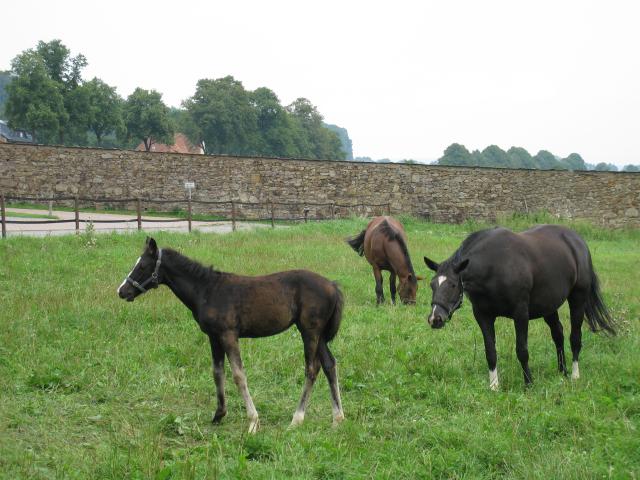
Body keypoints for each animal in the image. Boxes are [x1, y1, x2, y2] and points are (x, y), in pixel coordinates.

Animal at [116, 238, 344, 434]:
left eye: (142, 266)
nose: (122, 291)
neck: (207, 290)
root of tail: (333, 285)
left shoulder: (228, 335)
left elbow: (238, 375)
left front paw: (253, 421)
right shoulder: (214, 337)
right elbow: (218, 372)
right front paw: (219, 415)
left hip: (309, 331)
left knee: (312, 369)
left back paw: (297, 419)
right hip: (318, 335)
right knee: (329, 364)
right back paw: (338, 418)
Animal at [424, 225, 616, 390]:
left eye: (452, 285)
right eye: (432, 284)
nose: (435, 318)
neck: (495, 265)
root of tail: (577, 241)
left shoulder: (521, 314)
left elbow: (522, 350)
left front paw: (529, 383)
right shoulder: (483, 316)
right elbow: (490, 352)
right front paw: (494, 386)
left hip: (578, 299)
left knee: (575, 338)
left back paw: (575, 375)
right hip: (548, 306)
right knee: (558, 334)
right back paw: (562, 371)